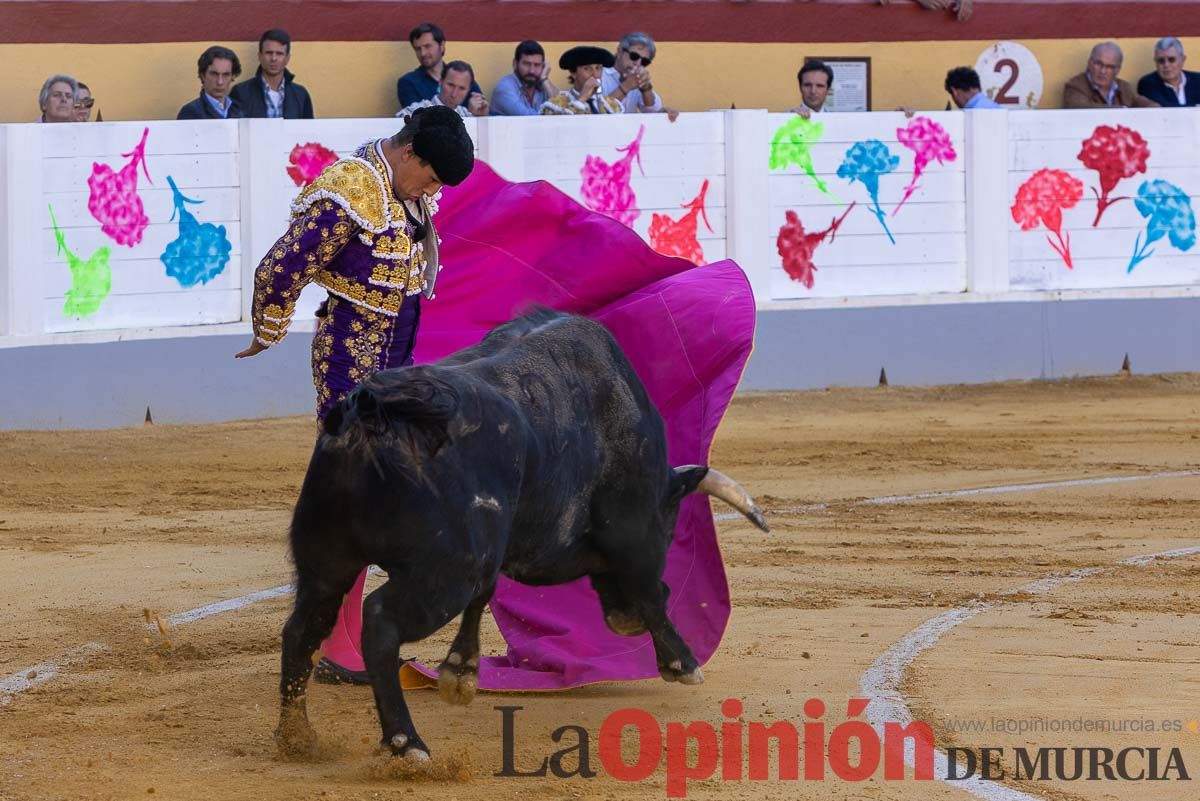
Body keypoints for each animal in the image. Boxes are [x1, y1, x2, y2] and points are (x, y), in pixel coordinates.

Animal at [274, 309, 763, 762]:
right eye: (670, 522)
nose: (623, 621)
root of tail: (372, 416)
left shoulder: (493, 550)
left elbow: (486, 596)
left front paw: (461, 673)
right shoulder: (633, 533)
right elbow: (651, 591)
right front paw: (683, 663)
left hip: (325, 562)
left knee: (302, 631)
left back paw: (296, 736)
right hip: (442, 574)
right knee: (378, 620)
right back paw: (406, 742)